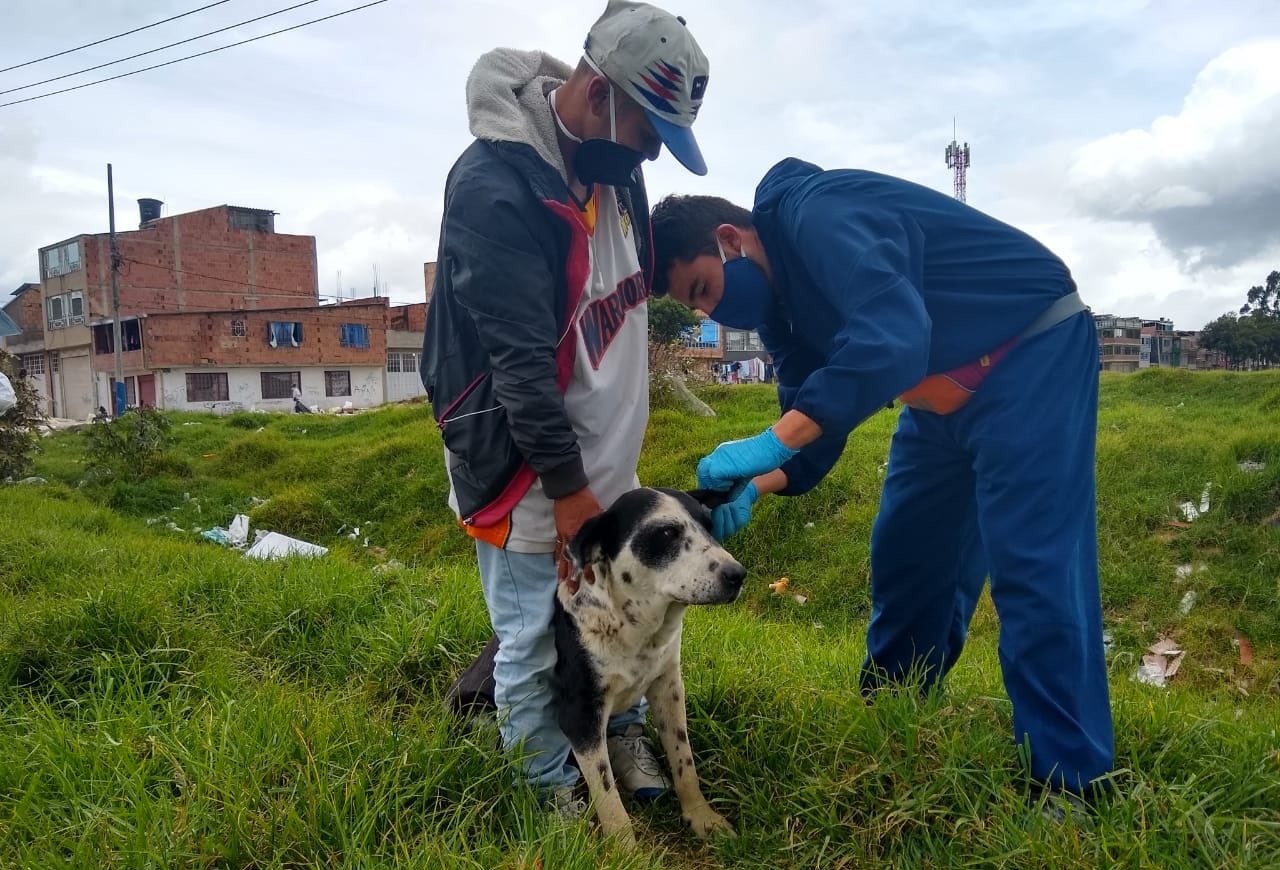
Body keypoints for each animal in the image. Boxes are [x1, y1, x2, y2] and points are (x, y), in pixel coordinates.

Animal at [450, 488, 747, 849]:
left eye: (709, 525)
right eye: (666, 533)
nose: (737, 575)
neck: (632, 628)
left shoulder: (668, 689)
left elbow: (684, 761)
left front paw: (701, 817)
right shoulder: (580, 716)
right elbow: (609, 798)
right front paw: (627, 852)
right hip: (478, 714)